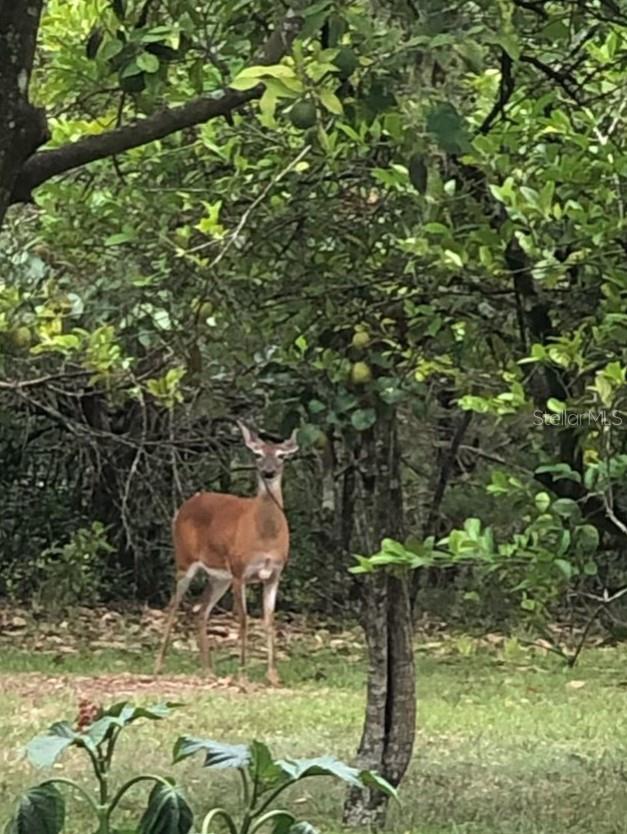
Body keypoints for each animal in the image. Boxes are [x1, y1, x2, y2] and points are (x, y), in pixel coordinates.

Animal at [153, 420, 298, 684]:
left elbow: (269, 622)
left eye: (281, 456)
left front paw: (273, 676)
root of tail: (184, 506)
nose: (268, 472)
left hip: (219, 576)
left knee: (200, 610)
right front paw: (243, 676)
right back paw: (158, 665)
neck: (265, 536)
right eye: (257, 454)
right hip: (185, 560)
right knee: (173, 606)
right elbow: (243, 621)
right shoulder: (240, 571)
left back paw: (207, 669)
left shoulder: (274, 574)